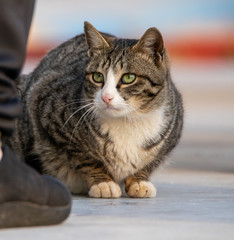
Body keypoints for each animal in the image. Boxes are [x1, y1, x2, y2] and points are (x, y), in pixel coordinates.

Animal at [7, 22, 184, 199]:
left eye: (129, 78)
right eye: (98, 77)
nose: (106, 97)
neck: (128, 121)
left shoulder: (173, 131)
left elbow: (152, 161)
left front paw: (140, 180)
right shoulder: (47, 110)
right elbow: (85, 157)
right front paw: (103, 182)